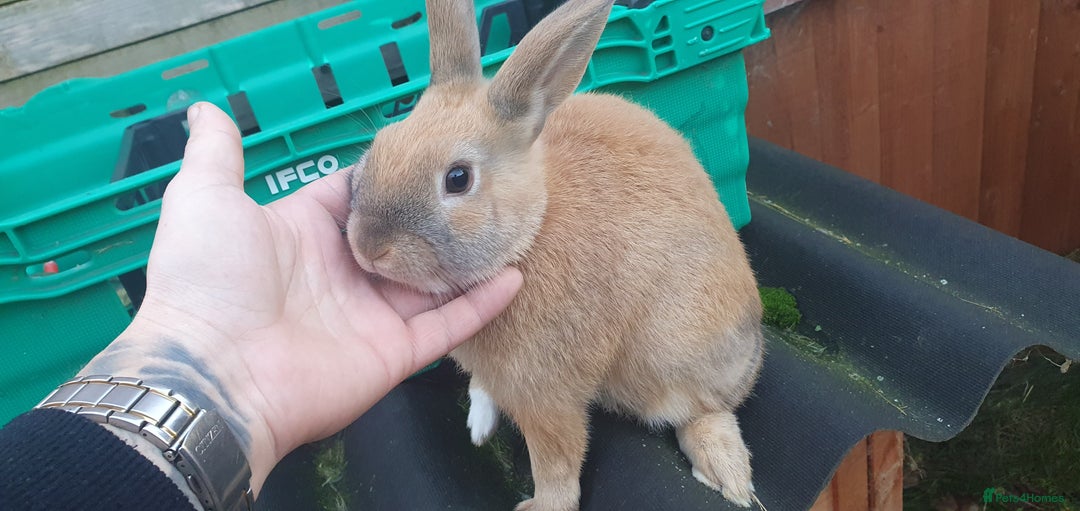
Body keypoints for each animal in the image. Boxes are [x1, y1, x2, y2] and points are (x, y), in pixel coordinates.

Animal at [345, 0, 765, 509]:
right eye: (379, 145)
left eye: (458, 178)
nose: (368, 246)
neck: (528, 235)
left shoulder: (547, 395)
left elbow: (556, 461)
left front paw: (539, 505)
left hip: (679, 356)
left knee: (705, 408)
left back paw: (728, 475)